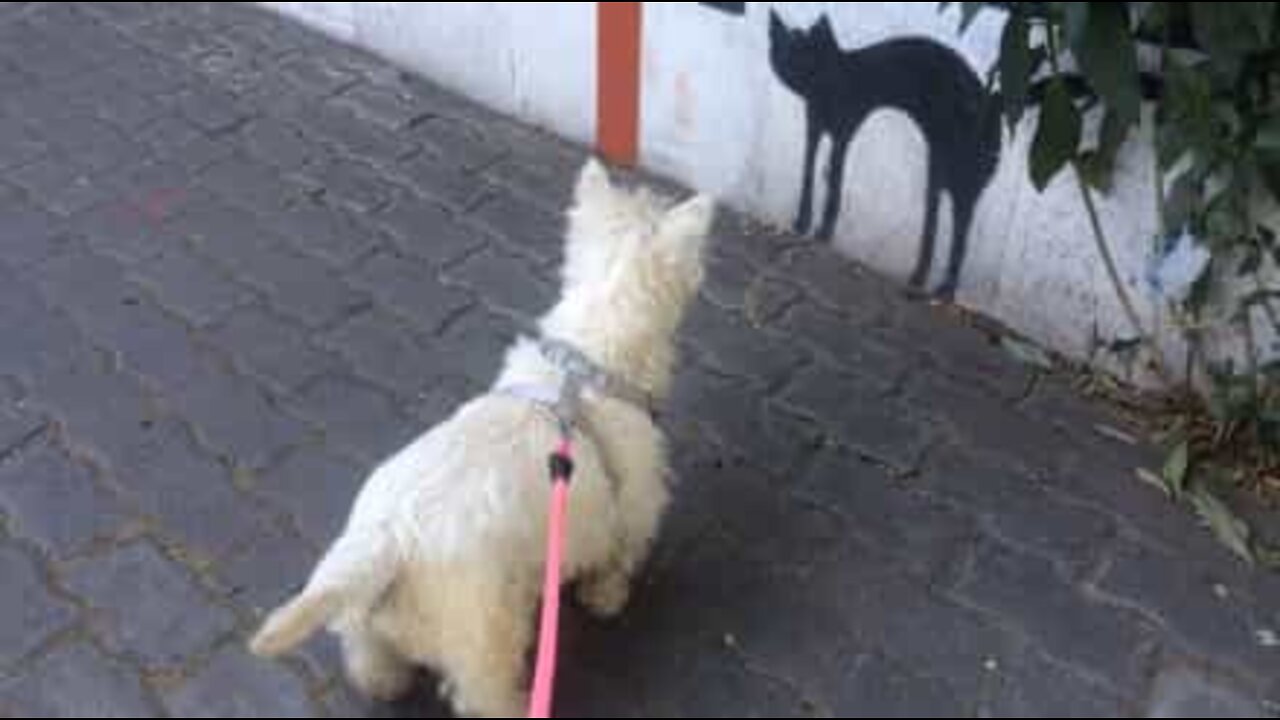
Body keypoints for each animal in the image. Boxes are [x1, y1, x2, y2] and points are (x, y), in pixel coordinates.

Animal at [247, 159, 711, 712]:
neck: (587, 359)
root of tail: (388, 543)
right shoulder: (635, 500)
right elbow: (619, 556)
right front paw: (607, 598)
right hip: (486, 633)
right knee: (484, 693)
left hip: (363, 610)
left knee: (368, 658)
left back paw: (385, 683)